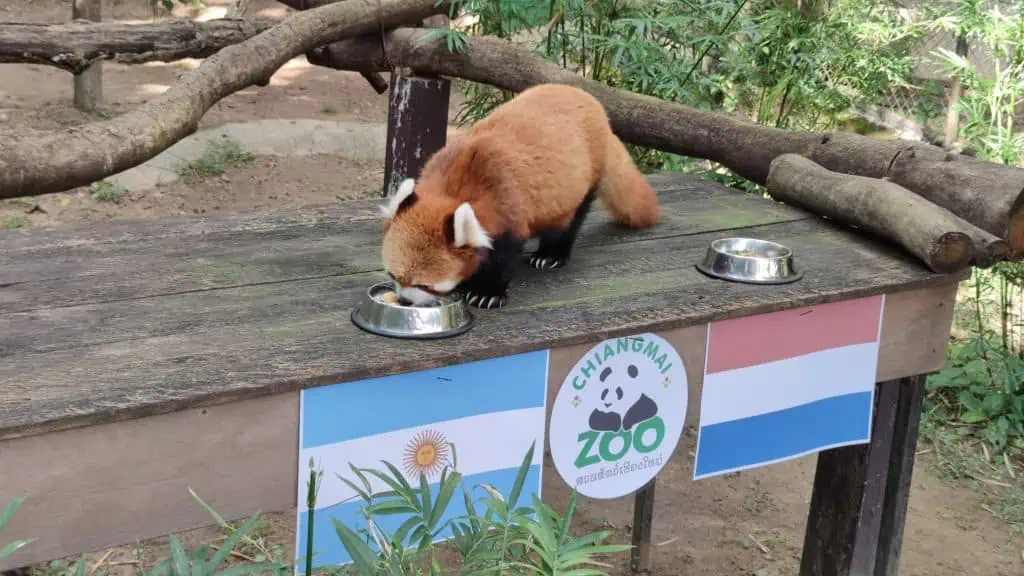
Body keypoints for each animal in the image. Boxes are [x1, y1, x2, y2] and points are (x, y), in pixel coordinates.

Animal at [380, 82, 659, 307]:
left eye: (424, 284)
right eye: (393, 275)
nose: (404, 301)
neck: (455, 186)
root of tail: (595, 105)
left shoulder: (508, 209)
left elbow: (504, 256)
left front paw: (486, 292)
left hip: (585, 176)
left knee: (569, 221)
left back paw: (551, 255)